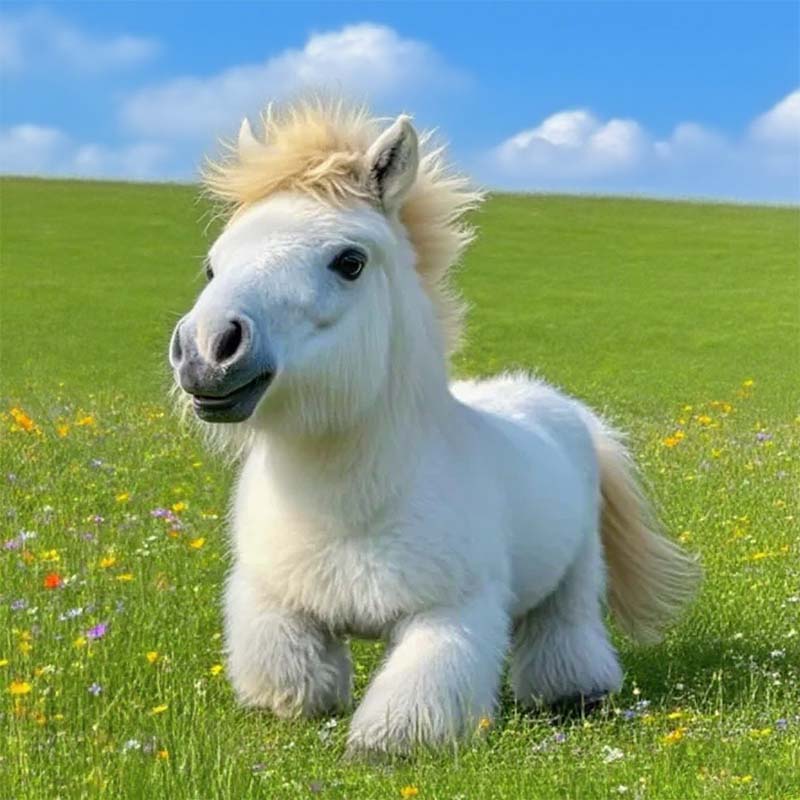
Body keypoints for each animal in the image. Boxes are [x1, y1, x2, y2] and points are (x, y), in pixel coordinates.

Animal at [169, 98, 700, 756]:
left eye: (349, 262)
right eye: (213, 265)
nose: (206, 351)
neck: (351, 507)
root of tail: (559, 407)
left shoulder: (450, 612)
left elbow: (412, 702)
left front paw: (381, 748)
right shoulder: (275, 602)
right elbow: (291, 676)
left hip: (576, 575)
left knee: (565, 630)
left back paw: (573, 694)